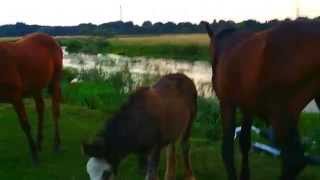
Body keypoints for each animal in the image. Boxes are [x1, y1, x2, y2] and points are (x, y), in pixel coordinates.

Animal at [0, 32, 62, 163]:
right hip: (35, 87)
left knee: (55, 110)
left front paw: (34, 154)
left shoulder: (16, 97)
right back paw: (39, 142)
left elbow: (25, 125)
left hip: (55, 80)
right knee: (40, 107)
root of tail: (52, 39)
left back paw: (56, 144)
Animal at [205, 19, 320, 180]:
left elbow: (227, 148)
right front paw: (245, 175)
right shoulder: (247, 106)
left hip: (281, 114)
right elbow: (244, 141)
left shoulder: (226, 103)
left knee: (294, 160)